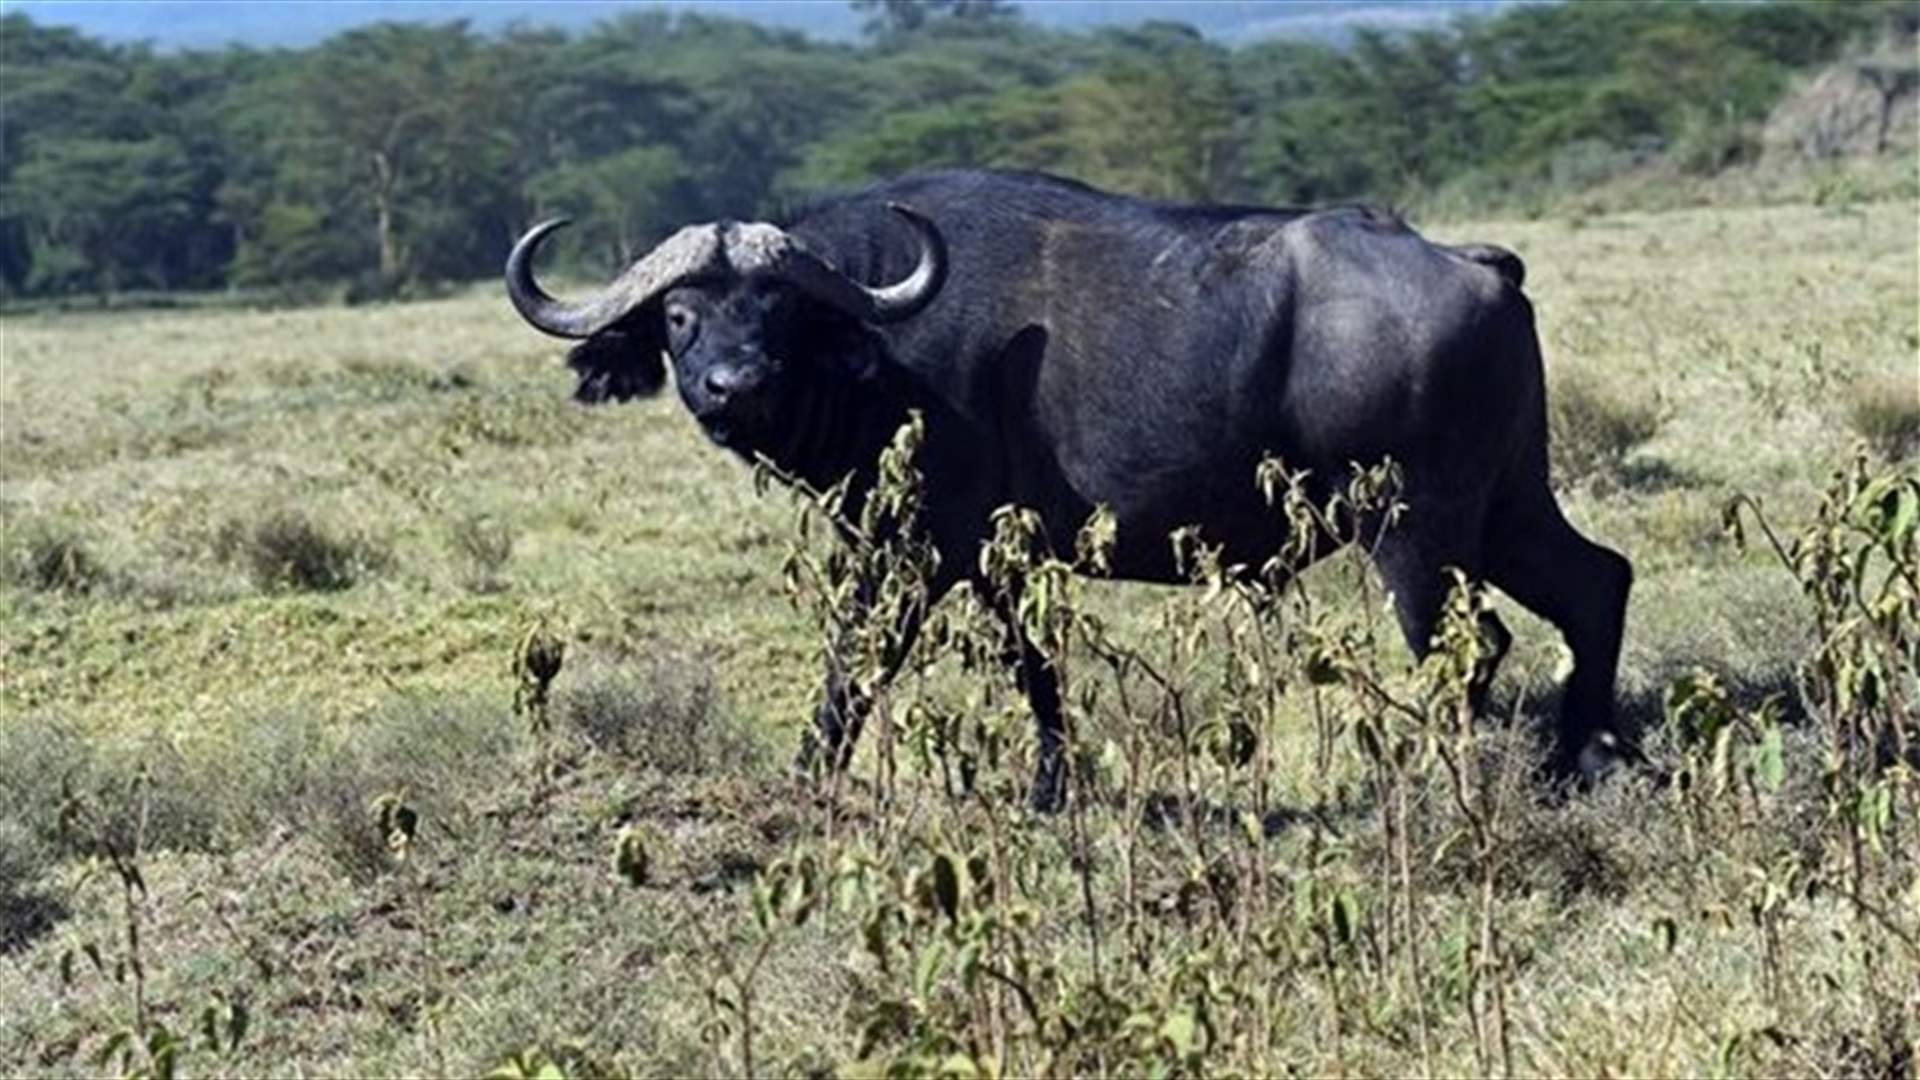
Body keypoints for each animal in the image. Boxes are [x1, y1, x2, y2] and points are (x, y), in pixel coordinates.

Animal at [505, 168, 1632, 811]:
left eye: (777, 310)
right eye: (680, 316)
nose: (732, 388)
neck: (879, 347)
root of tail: (1477, 263)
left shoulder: (915, 550)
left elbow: (855, 665)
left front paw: (806, 781)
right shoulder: (996, 560)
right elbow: (1037, 669)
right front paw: (1052, 787)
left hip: (1415, 530)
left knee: (1474, 645)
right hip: (1509, 506)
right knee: (1598, 584)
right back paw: (1575, 760)